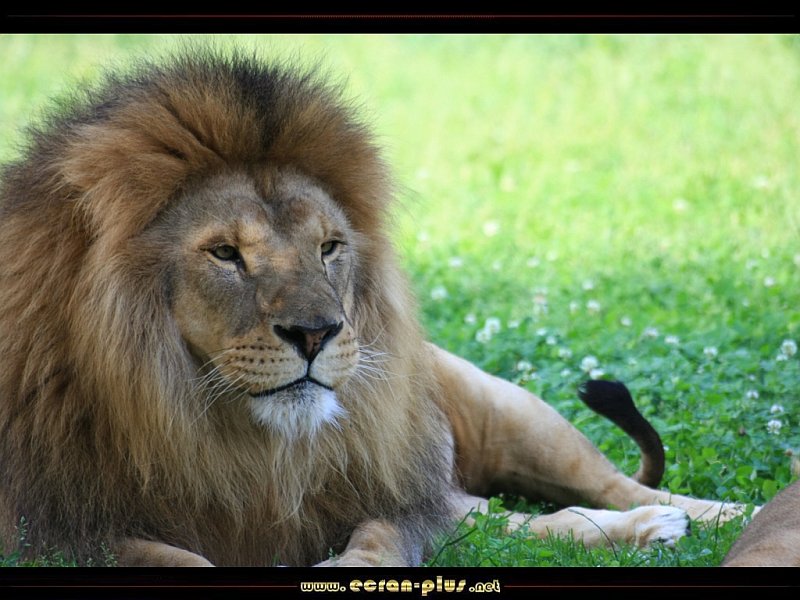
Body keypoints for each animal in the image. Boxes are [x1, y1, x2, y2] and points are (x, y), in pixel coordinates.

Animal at [0, 50, 749, 567]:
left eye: (329, 246)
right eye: (225, 254)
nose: (317, 334)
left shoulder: (390, 499)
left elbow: (381, 542)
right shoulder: (59, 532)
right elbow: (174, 558)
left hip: (515, 418)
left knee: (614, 487)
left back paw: (711, 516)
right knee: (530, 517)